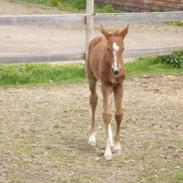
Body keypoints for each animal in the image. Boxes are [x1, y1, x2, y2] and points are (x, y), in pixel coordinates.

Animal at [86, 24, 128, 160]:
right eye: (108, 49)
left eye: (123, 49)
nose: (116, 70)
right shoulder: (106, 85)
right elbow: (106, 115)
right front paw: (108, 152)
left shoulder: (119, 86)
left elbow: (118, 114)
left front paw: (117, 146)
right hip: (92, 79)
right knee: (94, 100)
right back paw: (92, 138)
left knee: (107, 106)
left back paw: (110, 141)